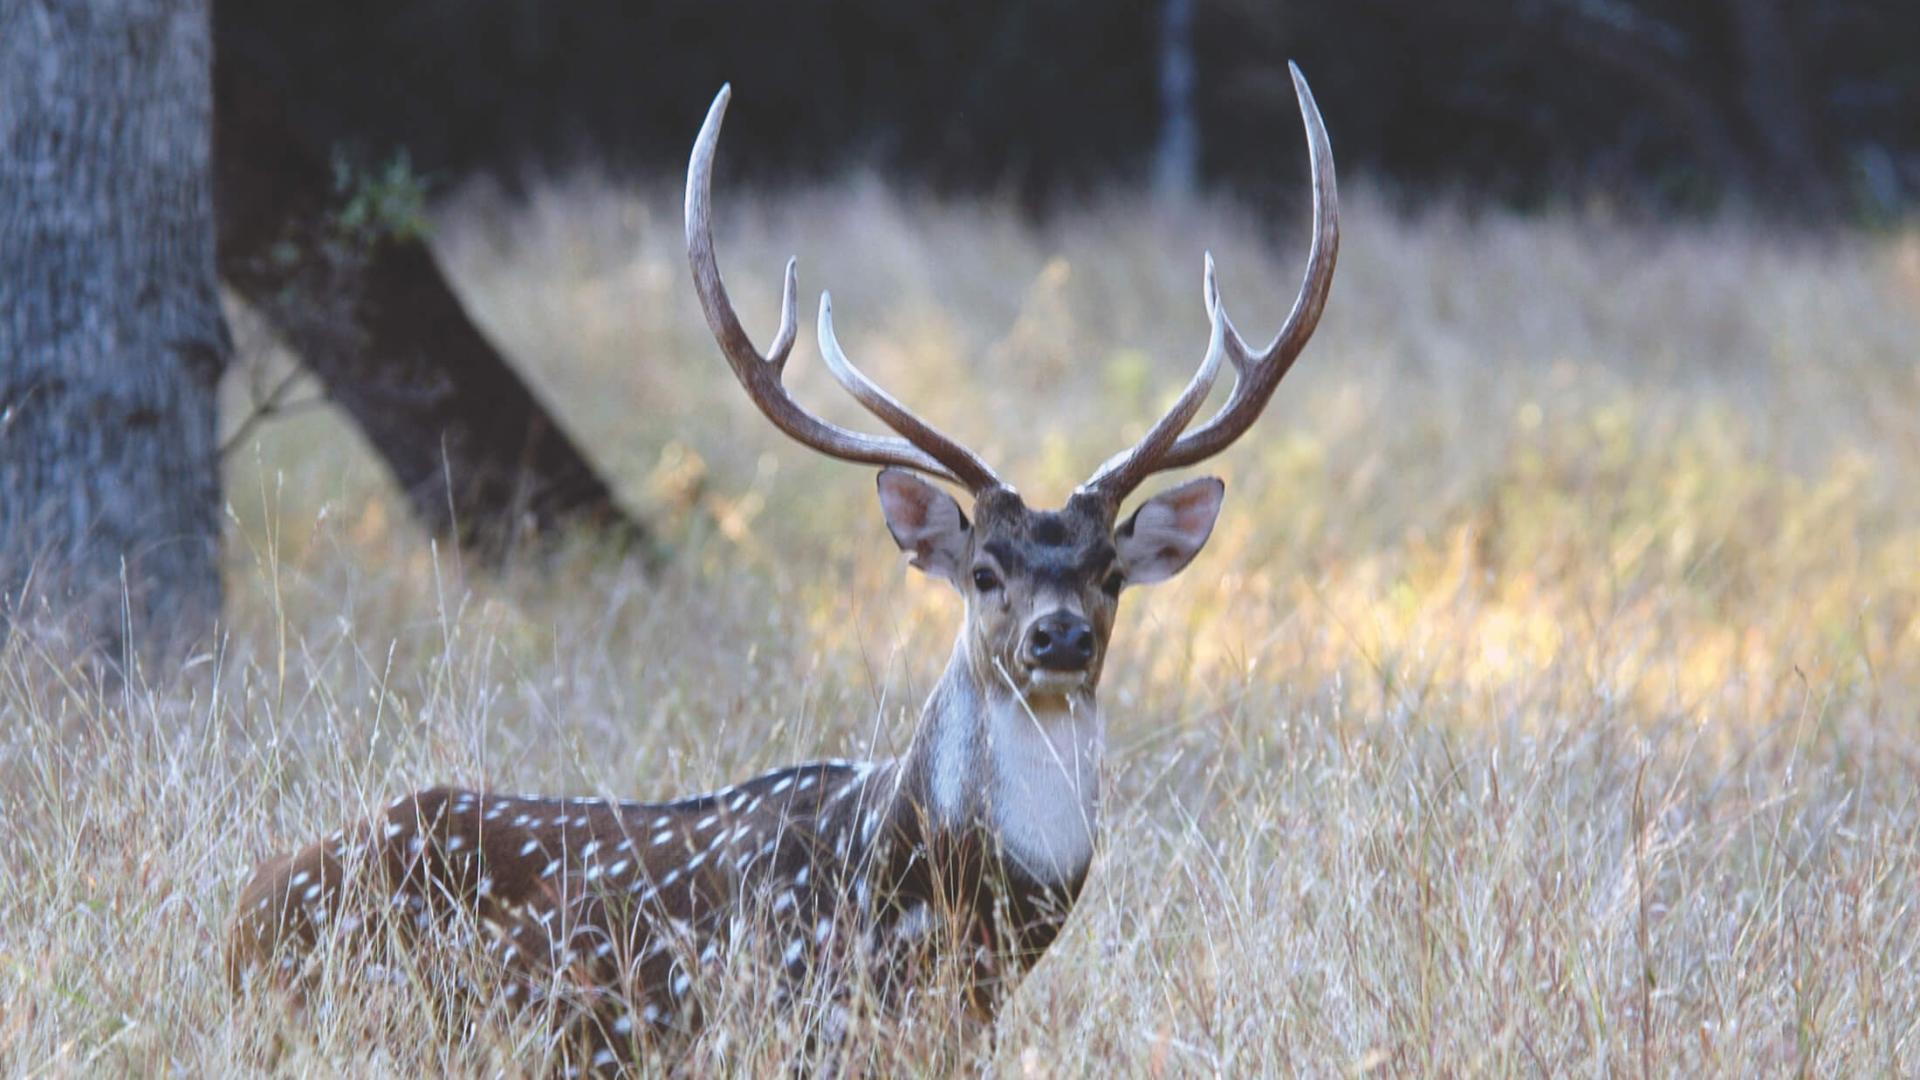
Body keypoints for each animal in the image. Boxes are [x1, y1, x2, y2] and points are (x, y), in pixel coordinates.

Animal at [224, 62, 1336, 1068]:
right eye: (984, 570)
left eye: (1109, 571)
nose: (1056, 635)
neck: (952, 915)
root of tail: (244, 908)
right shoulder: (794, 1026)